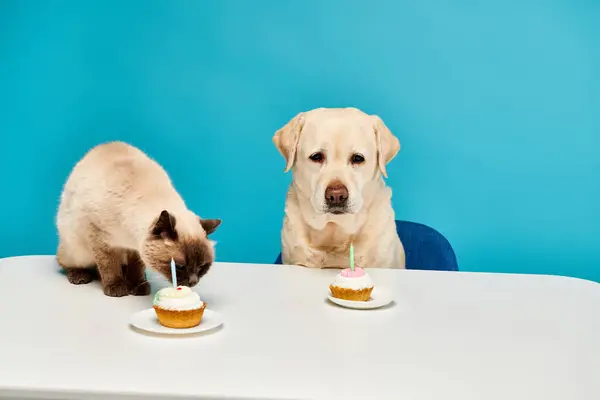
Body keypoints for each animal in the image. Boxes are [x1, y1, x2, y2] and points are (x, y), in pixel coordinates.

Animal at [55, 141, 220, 296]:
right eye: (180, 266)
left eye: (202, 266)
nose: (193, 282)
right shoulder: (100, 238)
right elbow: (109, 265)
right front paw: (116, 288)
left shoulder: (135, 247)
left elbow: (136, 266)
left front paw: (137, 286)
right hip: (79, 252)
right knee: (67, 262)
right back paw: (80, 275)